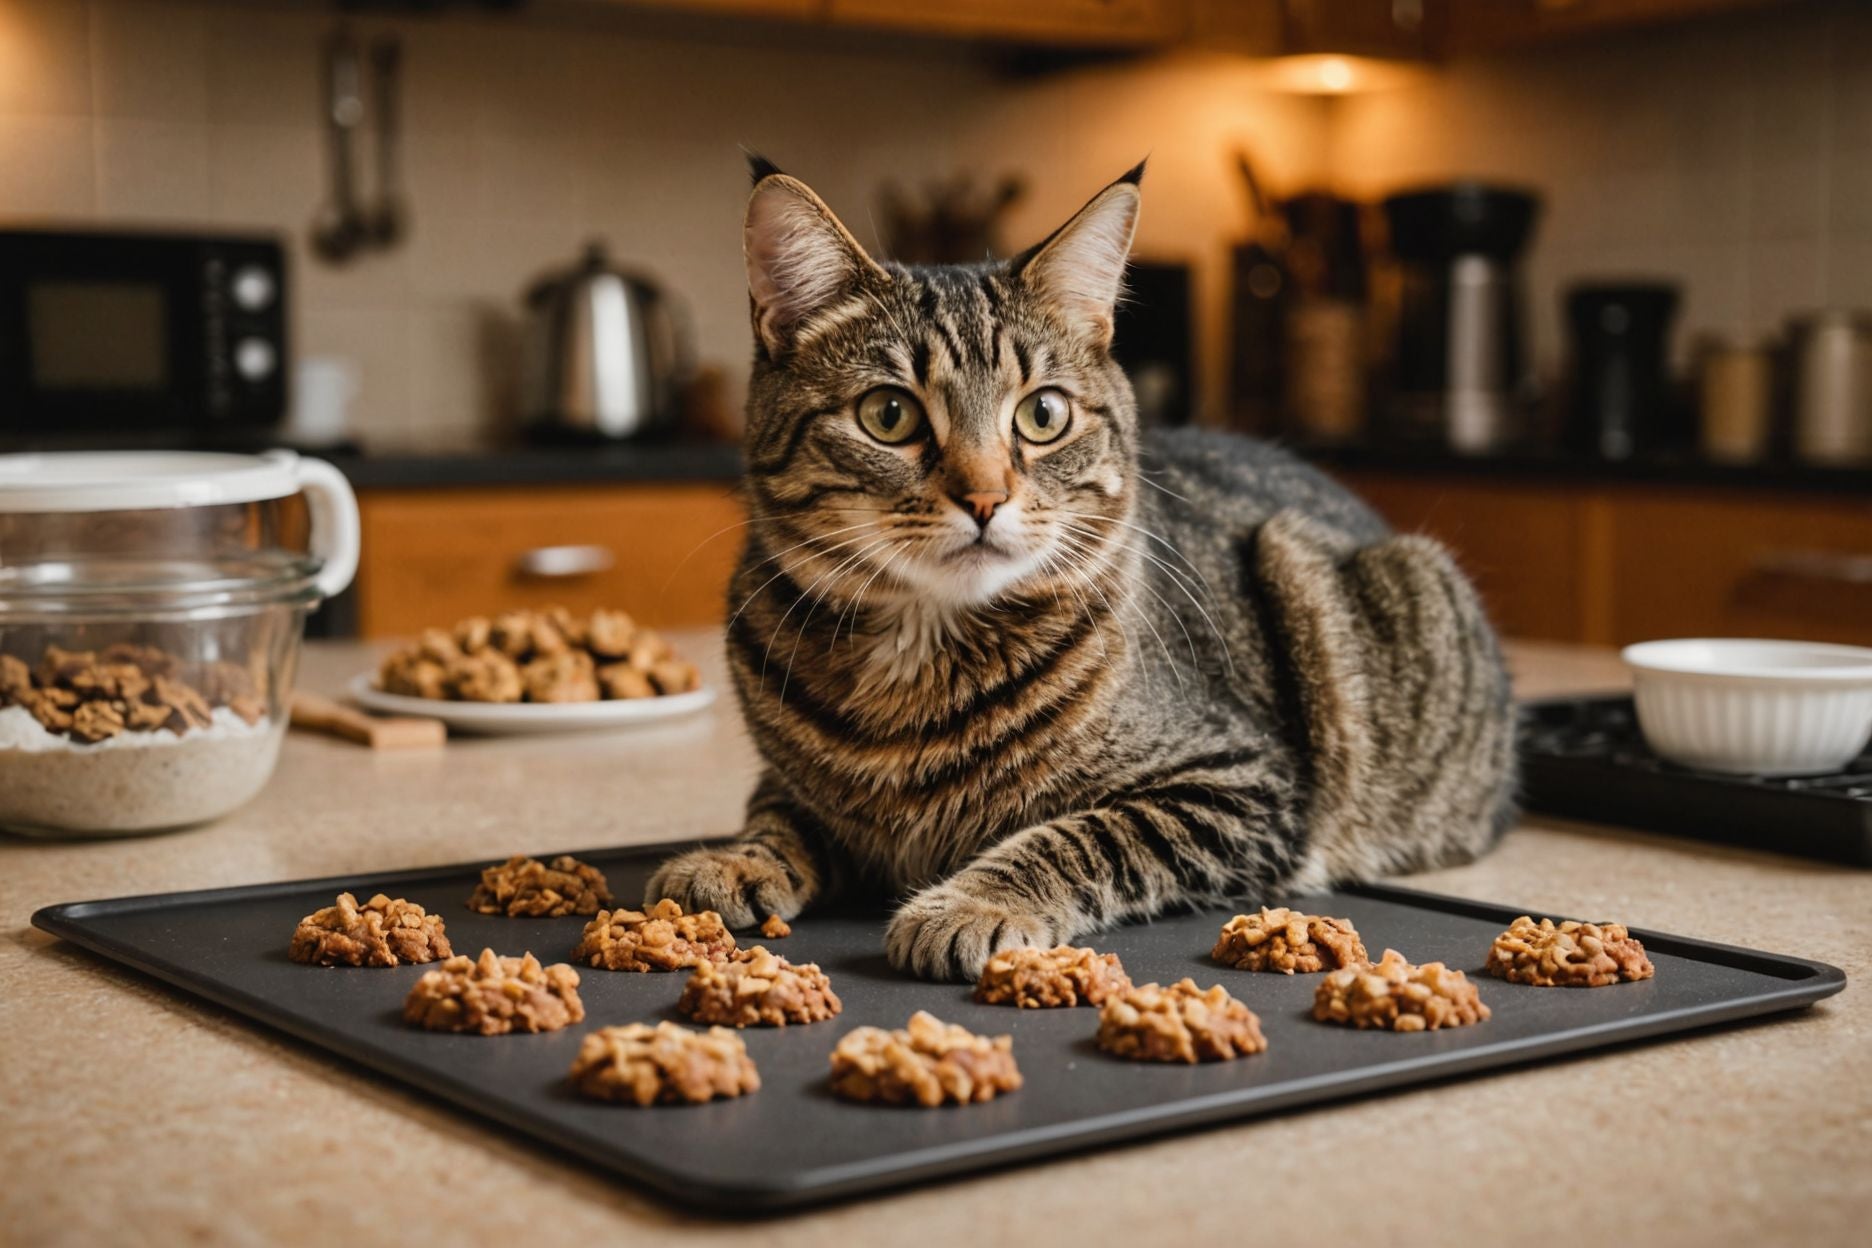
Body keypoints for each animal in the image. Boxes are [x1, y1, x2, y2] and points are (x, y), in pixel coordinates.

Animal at [647, 156, 1520, 980]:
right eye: (888, 415)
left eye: (1043, 414)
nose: (985, 497)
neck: (916, 664)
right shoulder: (790, 784)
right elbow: (778, 809)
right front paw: (736, 858)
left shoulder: (1241, 783)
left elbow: (1081, 835)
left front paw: (973, 903)